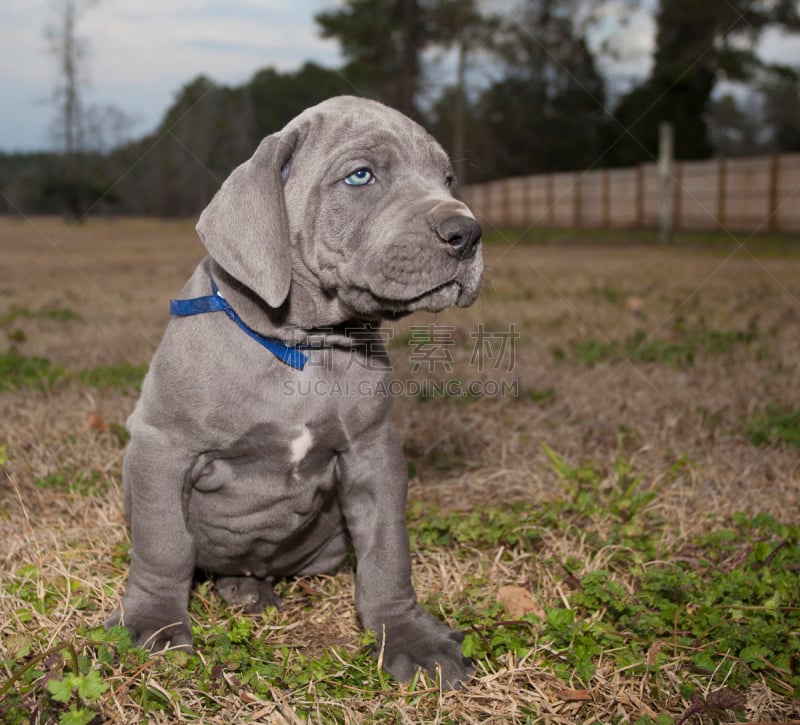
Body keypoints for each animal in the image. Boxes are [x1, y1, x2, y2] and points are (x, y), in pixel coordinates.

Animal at [105, 94, 482, 684]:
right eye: (360, 175)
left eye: (446, 178)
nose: (467, 233)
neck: (304, 346)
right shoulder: (160, 446)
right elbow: (163, 543)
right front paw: (154, 624)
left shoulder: (373, 454)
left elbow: (387, 552)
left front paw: (408, 634)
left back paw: (248, 588)